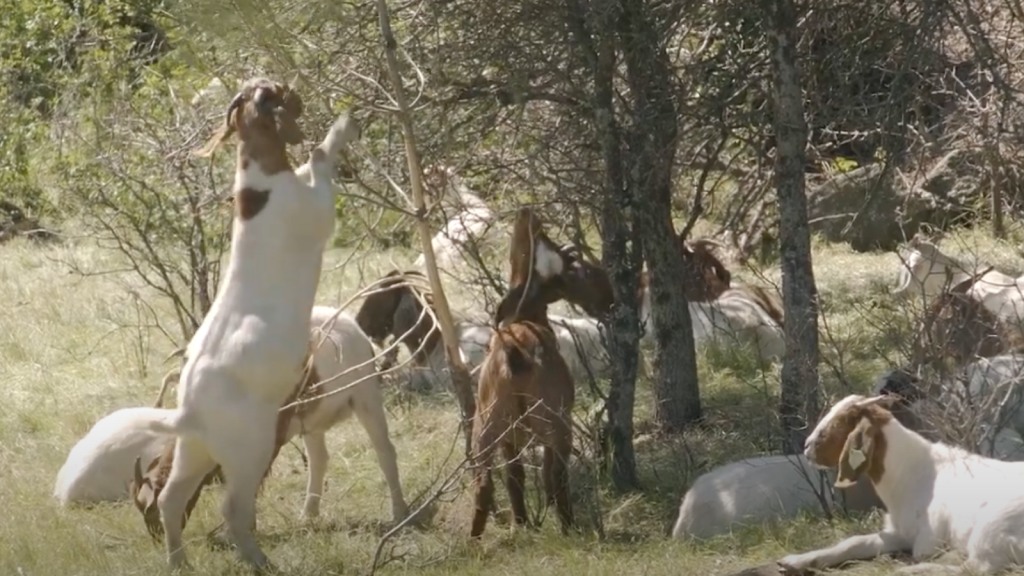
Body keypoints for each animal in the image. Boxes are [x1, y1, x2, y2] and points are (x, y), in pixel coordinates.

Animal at [132, 305, 407, 537]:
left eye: (151, 508)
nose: (157, 536)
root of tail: (349, 324)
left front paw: (235, 532)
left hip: (366, 396)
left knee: (384, 450)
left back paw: (400, 512)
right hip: (312, 419)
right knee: (319, 459)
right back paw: (308, 514)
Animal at [133, 77, 360, 569]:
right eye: (278, 91)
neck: (262, 187)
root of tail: (191, 410)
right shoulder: (316, 206)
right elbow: (319, 155)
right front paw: (342, 124)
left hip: (195, 453)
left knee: (171, 499)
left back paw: (178, 562)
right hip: (249, 451)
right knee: (233, 509)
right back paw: (261, 562)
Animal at [468, 204, 581, 532]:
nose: (526, 212)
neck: (526, 318)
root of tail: (515, 352)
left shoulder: (511, 437)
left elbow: (515, 475)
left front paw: (521, 522)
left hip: (487, 422)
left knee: (485, 482)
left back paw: (475, 538)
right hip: (554, 420)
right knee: (555, 475)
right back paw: (570, 527)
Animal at [774, 391, 1024, 569]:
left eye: (842, 421)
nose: (806, 446)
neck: (914, 474)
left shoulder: (927, 541)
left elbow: (925, 555)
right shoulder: (899, 532)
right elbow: (854, 542)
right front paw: (796, 560)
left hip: (992, 527)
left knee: (974, 566)